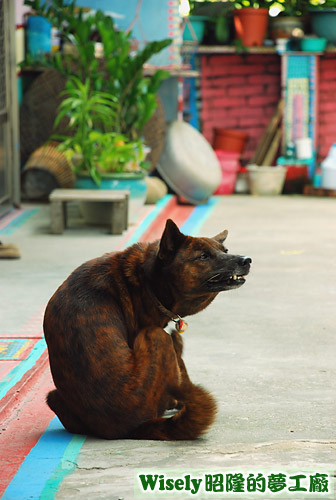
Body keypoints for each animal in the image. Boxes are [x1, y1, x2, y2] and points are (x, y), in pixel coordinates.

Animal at [44, 221, 249, 440]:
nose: (246, 260)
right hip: (156, 336)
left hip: (53, 397)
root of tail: (134, 427)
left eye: (225, 251)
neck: (147, 280)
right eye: (203, 256)